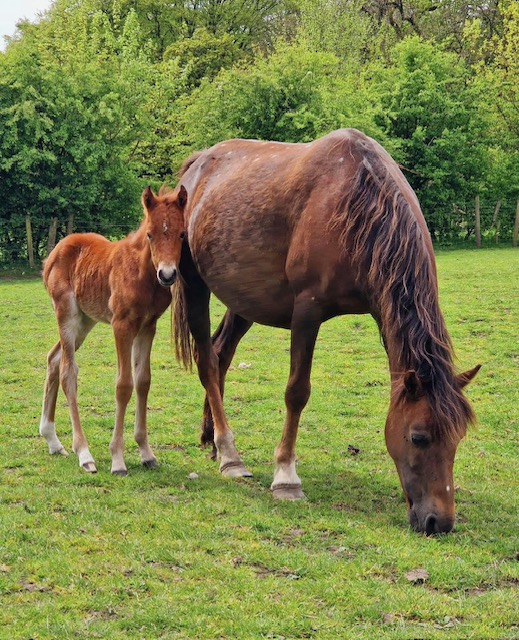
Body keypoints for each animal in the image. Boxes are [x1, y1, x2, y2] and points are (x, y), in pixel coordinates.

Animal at [39, 185, 187, 475]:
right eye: (150, 234)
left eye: (182, 233)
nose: (167, 275)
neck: (142, 273)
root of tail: (52, 254)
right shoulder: (122, 325)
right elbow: (124, 385)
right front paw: (117, 459)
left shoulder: (147, 326)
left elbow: (143, 381)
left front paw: (146, 453)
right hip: (67, 316)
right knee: (68, 372)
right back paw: (84, 453)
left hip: (86, 321)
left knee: (53, 359)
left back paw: (52, 440)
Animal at [170, 128, 480, 534]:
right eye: (419, 437)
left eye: (458, 438)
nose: (438, 522)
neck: (358, 204)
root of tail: (197, 167)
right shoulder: (307, 311)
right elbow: (297, 392)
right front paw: (286, 477)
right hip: (195, 285)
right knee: (207, 361)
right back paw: (230, 455)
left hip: (246, 299)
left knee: (221, 354)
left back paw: (213, 441)